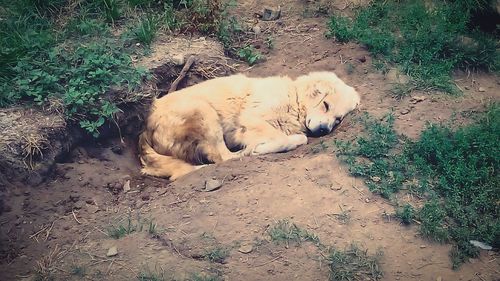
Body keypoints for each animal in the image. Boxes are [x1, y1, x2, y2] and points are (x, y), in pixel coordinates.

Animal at [139, 70, 362, 179]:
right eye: (325, 105)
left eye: (338, 119)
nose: (325, 130)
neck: (294, 99)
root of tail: (145, 129)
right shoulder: (251, 118)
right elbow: (290, 137)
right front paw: (261, 147)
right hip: (203, 110)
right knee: (223, 157)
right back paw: (247, 152)